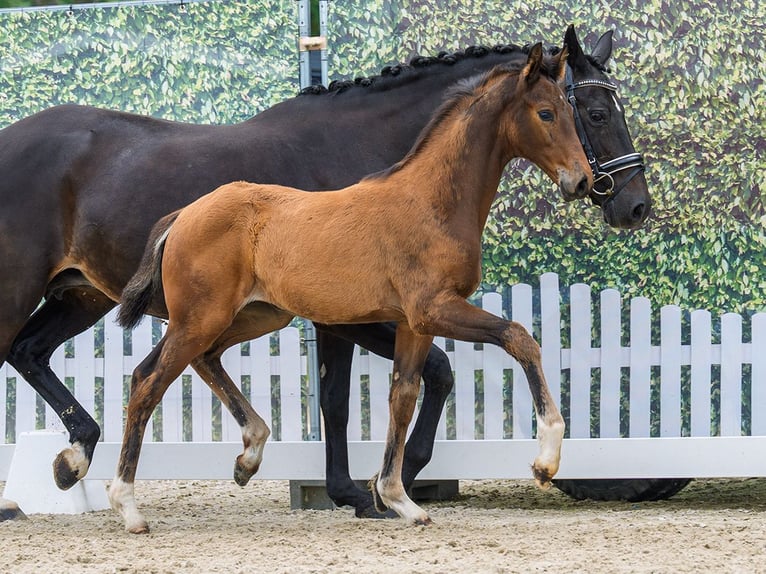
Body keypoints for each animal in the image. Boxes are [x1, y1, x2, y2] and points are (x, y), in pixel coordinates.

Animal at [0, 25, 648, 520]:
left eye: (605, 108)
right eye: (586, 111)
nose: (631, 204)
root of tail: (185, 213)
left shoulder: (394, 318)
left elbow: (403, 388)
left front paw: (386, 491)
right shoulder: (376, 315)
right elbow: (448, 364)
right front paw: (377, 489)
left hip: (126, 301)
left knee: (45, 353)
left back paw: (89, 458)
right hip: (66, 297)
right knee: (129, 375)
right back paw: (120, 495)